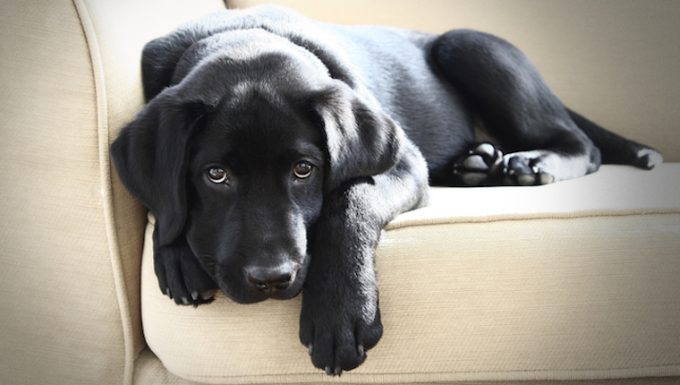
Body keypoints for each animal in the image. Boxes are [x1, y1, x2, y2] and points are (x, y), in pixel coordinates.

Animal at [110, 4, 660, 374]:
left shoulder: (404, 163)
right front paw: (174, 250)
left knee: (584, 144)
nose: (271, 278)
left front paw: (339, 312)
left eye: (304, 170)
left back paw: (530, 162)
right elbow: (166, 202)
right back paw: (477, 163)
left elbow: (351, 198)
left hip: (468, 44)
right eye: (215, 175)